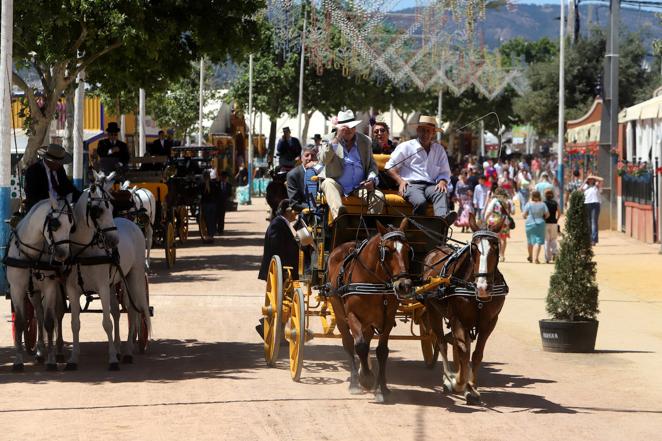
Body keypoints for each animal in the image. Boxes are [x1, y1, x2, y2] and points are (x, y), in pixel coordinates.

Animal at [6, 194, 75, 370]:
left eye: (72, 226)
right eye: (55, 224)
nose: (63, 256)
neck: (30, 255)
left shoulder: (50, 287)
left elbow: (50, 322)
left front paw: (51, 361)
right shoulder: (17, 289)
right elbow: (20, 323)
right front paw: (18, 361)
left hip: (58, 287)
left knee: (58, 314)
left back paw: (58, 351)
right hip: (33, 292)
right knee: (39, 314)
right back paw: (40, 351)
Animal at [66, 170, 152, 370]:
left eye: (112, 207)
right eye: (97, 211)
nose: (114, 241)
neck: (84, 252)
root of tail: (132, 224)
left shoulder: (103, 288)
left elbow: (107, 323)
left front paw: (112, 359)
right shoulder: (73, 290)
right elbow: (75, 323)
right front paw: (73, 359)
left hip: (134, 277)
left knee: (134, 310)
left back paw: (128, 351)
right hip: (116, 282)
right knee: (117, 311)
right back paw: (120, 348)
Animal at [328, 217, 416, 402]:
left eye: (408, 251)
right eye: (387, 251)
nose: (404, 285)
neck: (373, 282)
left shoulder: (388, 318)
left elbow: (382, 351)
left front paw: (381, 388)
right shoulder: (352, 315)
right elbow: (360, 346)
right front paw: (367, 380)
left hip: (369, 321)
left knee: (366, 339)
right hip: (339, 315)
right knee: (349, 343)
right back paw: (355, 381)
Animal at [422, 215, 506, 404]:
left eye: (495, 248)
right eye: (473, 248)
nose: (483, 287)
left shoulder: (489, 322)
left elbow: (476, 354)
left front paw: (471, 388)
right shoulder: (457, 319)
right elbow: (463, 351)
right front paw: (458, 382)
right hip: (433, 311)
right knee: (442, 342)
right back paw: (447, 377)